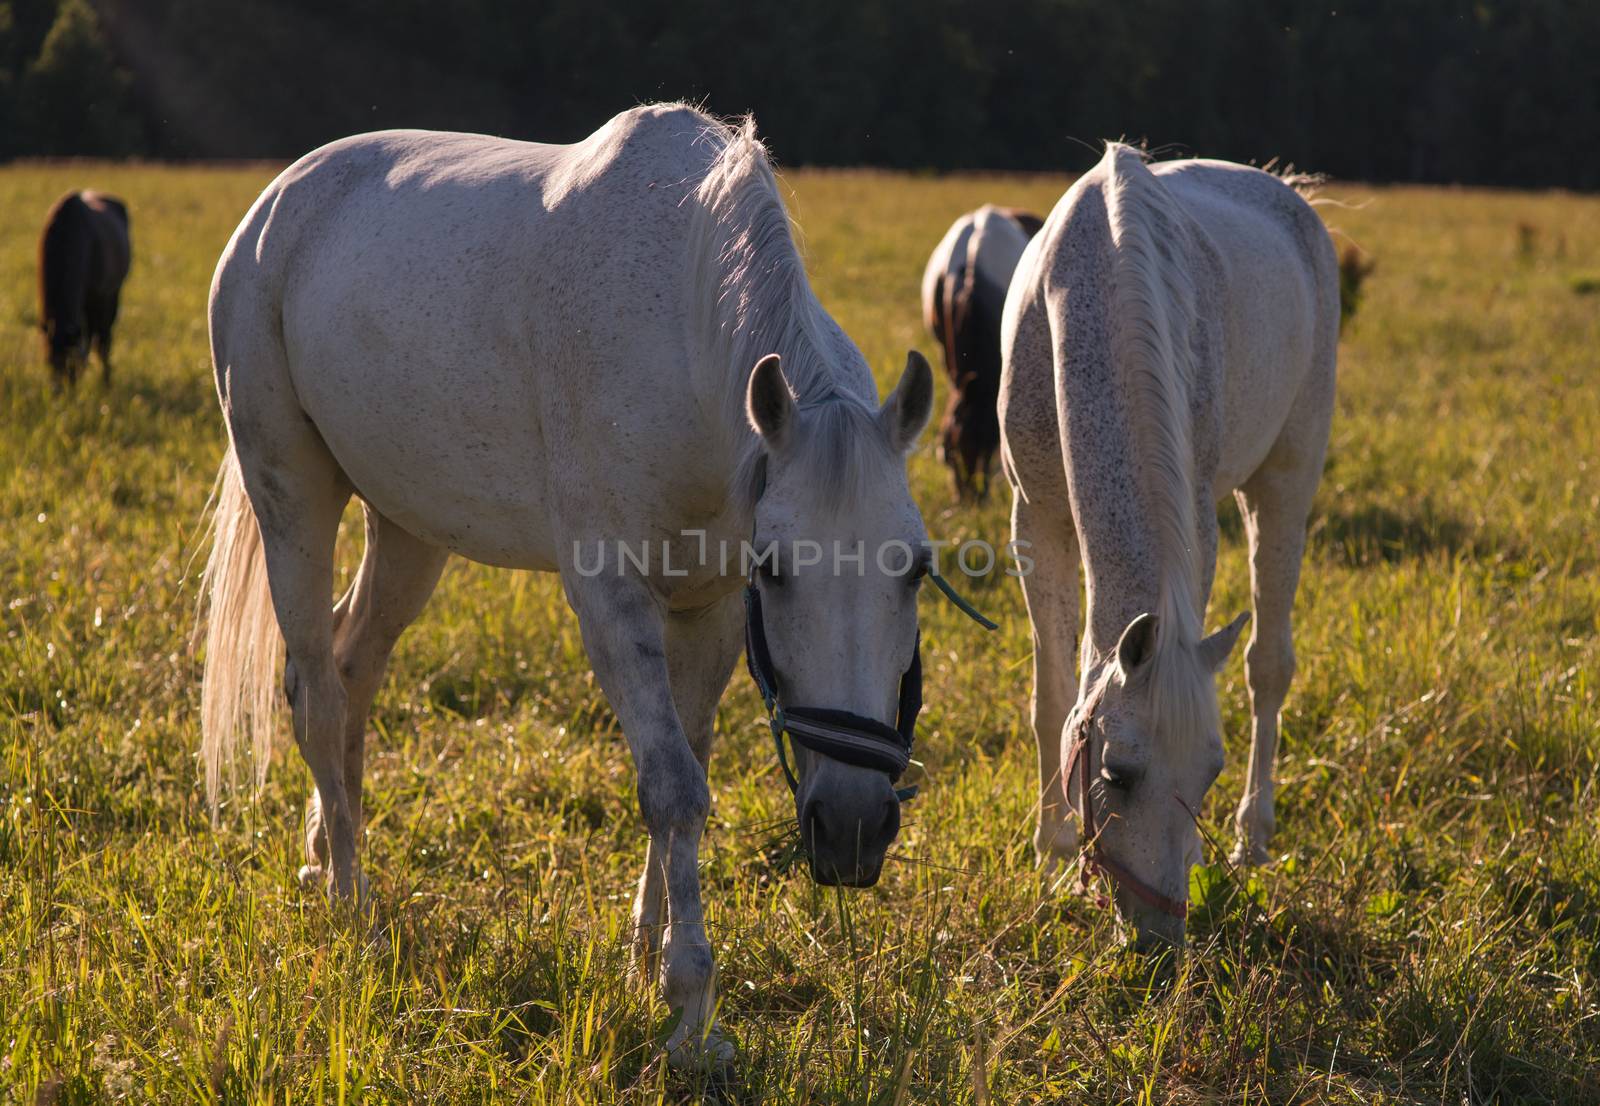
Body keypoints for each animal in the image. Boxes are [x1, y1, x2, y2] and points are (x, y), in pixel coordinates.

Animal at [39, 192, 129, 392]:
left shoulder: (99, 298)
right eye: (49, 361)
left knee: (103, 340)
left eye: (73, 365)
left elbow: (100, 342)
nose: (60, 394)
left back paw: (106, 380)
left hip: (112, 295)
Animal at [196, 104, 934, 1062]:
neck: (685, 335)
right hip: (292, 495)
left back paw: (327, 853)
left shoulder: (709, 608)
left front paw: (644, 961)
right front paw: (692, 1008)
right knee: (316, 692)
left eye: (915, 568)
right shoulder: (611, 600)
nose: (853, 827)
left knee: (353, 669)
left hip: (408, 529)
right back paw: (352, 905)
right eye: (779, 569)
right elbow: (672, 786)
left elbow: (689, 769)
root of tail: (275, 206)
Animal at [998, 142, 1337, 947]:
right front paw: (1049, 853)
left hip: (1287, 480)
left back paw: (1252, 840)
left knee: (1267, 666)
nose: (1159, 941)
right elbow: (1051, 693)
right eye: (1117, 774)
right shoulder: (1035, 519)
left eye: (1208, 773)